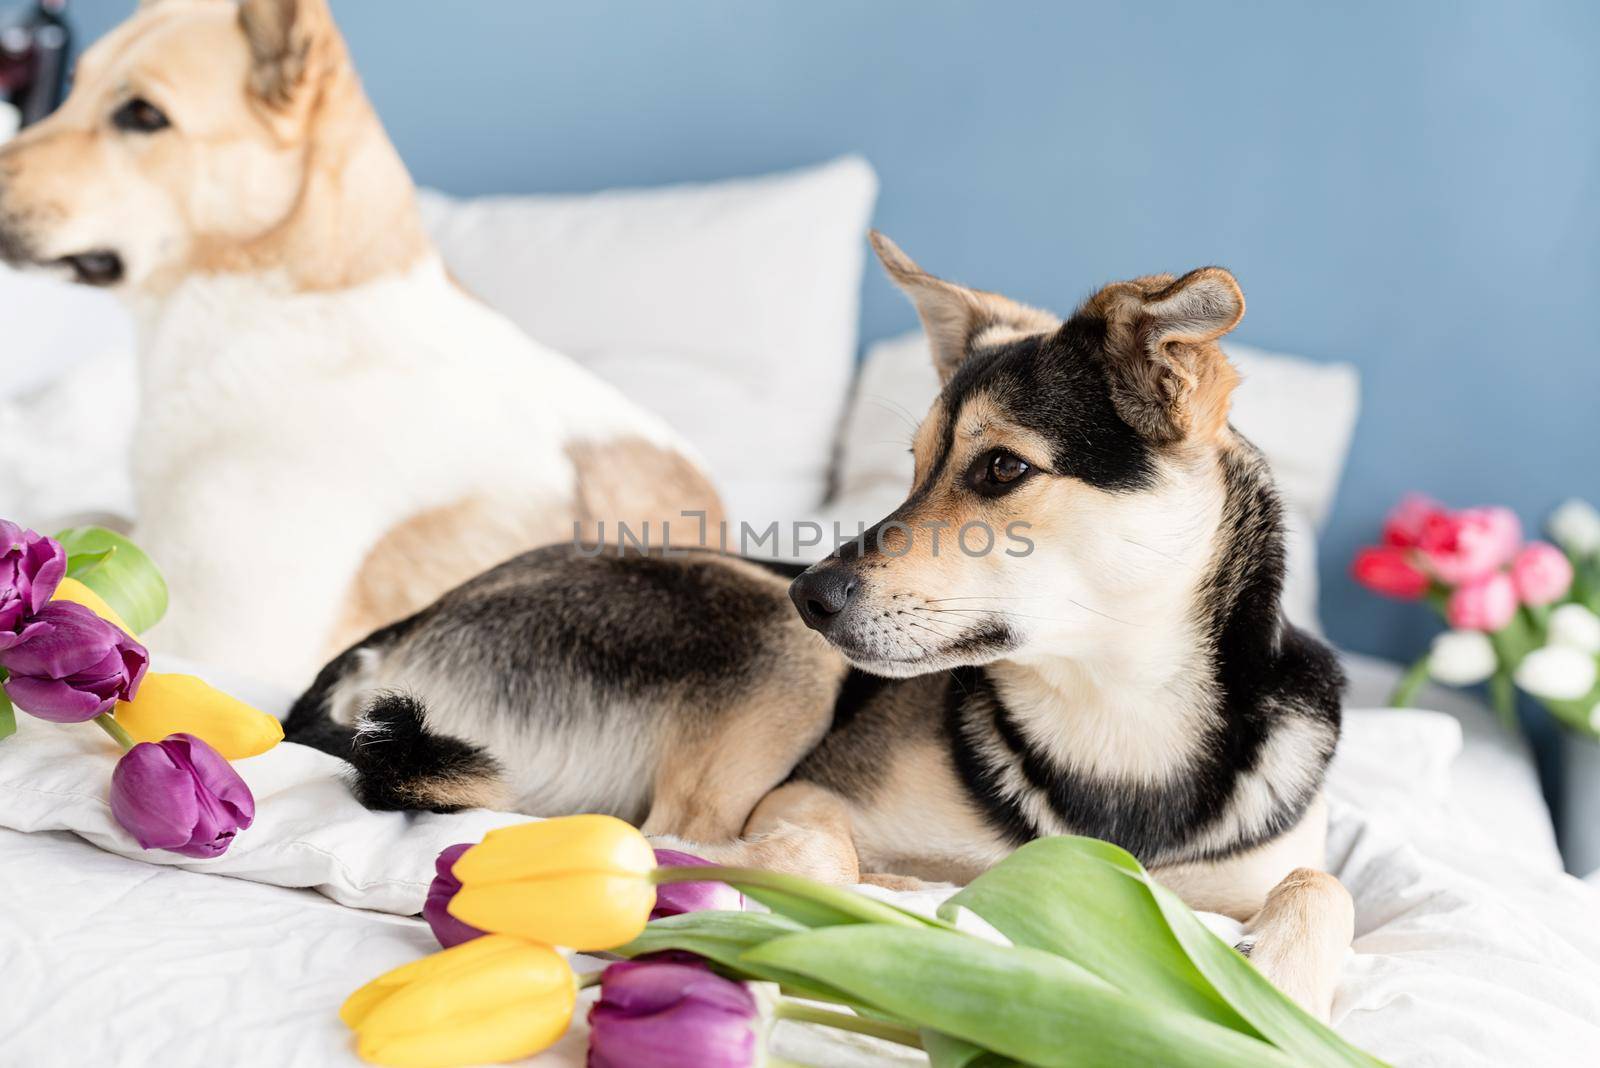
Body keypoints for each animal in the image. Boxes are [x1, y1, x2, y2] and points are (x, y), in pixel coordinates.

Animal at [284, 233, 1350, 1016]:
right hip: (766, 640)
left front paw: (1281, 988)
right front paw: (909, 898)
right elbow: (809, 852)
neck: (1115, 721)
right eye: (913, 467)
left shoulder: (1268, 865)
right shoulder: (805, 798)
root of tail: (389, 641)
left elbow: (1322, 885)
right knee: (664, 835)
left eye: (1002, 468)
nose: (816, 593)